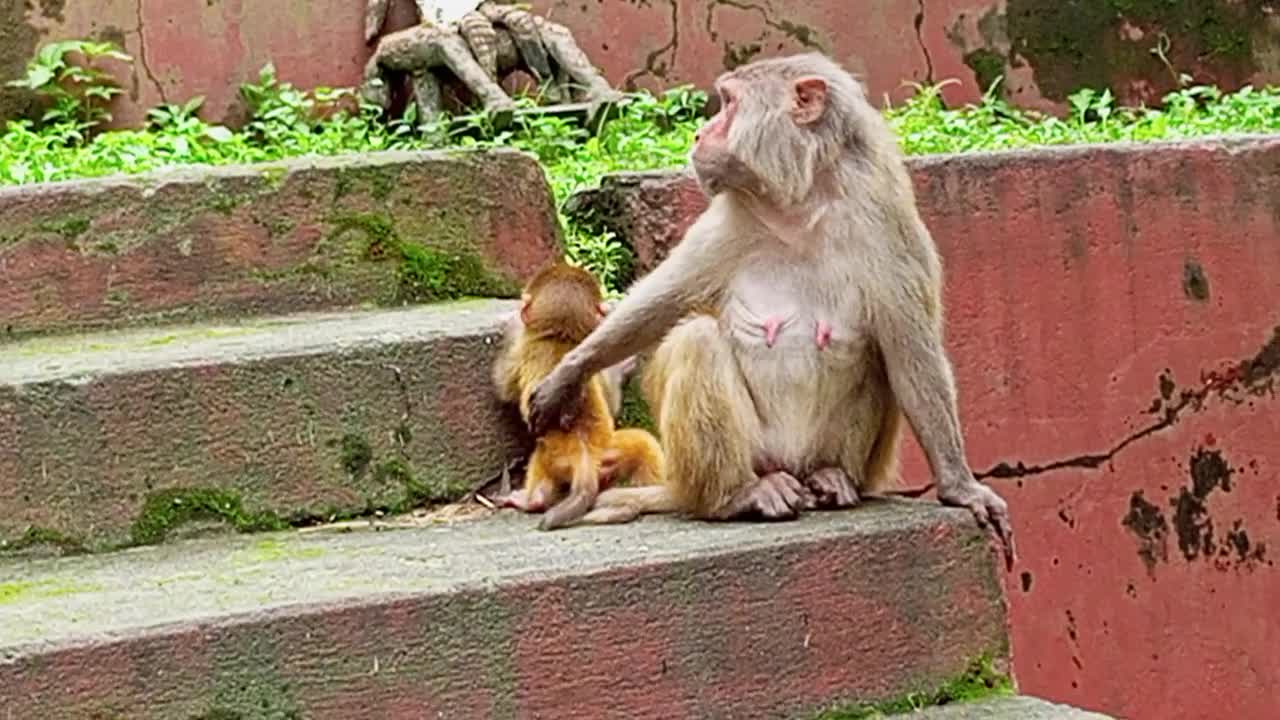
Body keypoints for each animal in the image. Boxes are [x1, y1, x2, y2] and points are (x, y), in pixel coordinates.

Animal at [491, 262, 670, 527]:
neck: (561, 336)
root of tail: (584, 456)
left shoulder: (520, 351)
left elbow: (502, 387)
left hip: (552, 459)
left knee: (540, 474)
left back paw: (530, 500)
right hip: (610, 453)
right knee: (644, 443)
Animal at [524, 51, 1013, 566]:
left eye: (729, 104)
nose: (699, 135)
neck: (801, 206)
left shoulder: (887, 222)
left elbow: (911, 354)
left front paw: (960, 486)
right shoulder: (727, 219)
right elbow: (661, 304)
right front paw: (569, 373)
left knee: (874, 357)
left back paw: (831, 478)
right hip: (746, 456)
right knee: (698, 340)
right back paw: (735, 496)